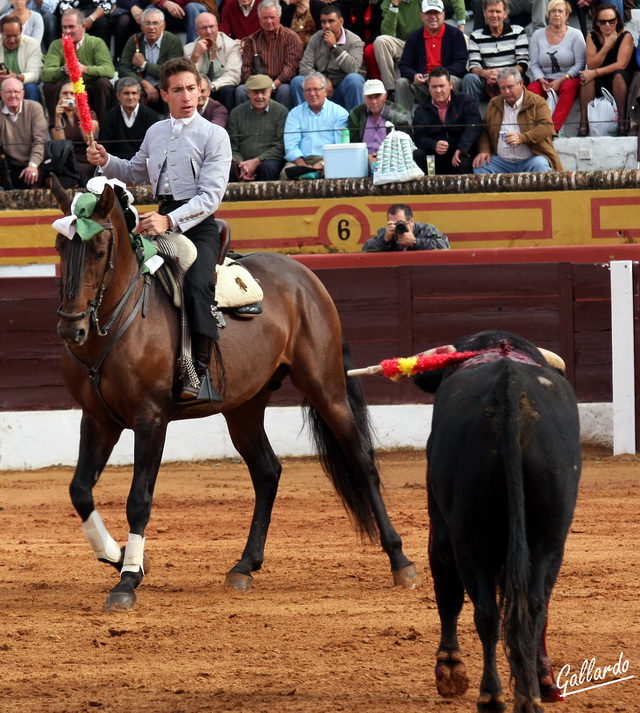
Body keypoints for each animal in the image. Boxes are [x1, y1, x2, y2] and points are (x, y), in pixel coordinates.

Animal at [51, 179, 420, 612]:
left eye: (99, 250)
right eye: (60, 247)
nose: (70, 328)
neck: (115, 322)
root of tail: (304, 277)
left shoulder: (150, 419)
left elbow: (139, 499)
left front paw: (127, 580)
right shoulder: (98, 418)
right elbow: (79, 490)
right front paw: (119, 556)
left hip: (325, 385)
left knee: (361, 459)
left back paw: (400, 560)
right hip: (245, 407)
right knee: (267, 471)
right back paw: (245, 565)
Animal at [412, 332, 584, 712]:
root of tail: (510, 392)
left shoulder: (443, 528)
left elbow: (448, 589)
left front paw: (449, 667)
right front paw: (542, 678)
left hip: (469, 537)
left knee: (486, 610)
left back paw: (490, 695)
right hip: (550, 538)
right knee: (533, 606)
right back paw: (532, 690)